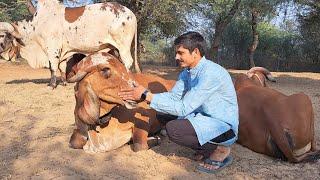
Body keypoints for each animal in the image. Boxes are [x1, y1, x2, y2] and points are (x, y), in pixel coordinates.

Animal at [0, 0, 136, 87]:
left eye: (3, 35)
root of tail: (130, 13)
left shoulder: (52, 49)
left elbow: (53, 67)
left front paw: (52, 85)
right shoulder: (64, 52)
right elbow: (62, 67)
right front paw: (64, 83)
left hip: (123, 46)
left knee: (128, 62)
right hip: (116, 48)